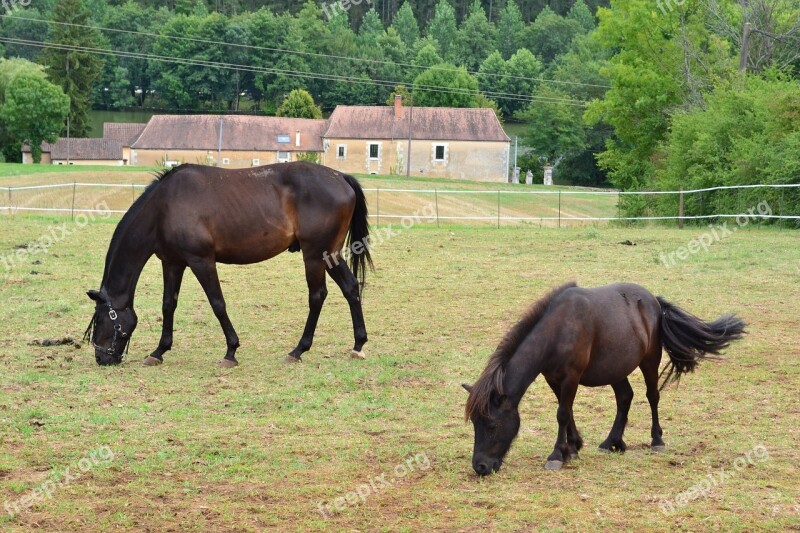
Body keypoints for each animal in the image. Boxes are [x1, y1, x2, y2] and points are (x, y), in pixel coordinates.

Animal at [86, 162, 374, 368]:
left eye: (100, 320)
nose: (102, 358)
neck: (164, 207)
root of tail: (341, 177)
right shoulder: (172, 263)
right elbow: (168, 305)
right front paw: (158, 351)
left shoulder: (201, 261)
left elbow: (217, 304)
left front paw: (231, 351)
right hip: (330, 256)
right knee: (350, 288)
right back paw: (358, 345)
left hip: (315, 255)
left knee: (317, 296)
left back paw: (298, 349)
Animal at [462, 282, 744, 474]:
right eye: (475, 423)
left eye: (491, 425)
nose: (480, 466)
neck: (558, 329)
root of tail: (654, 301)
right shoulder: (554, 378)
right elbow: (567, 411)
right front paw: (573, 448)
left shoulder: (571, 376)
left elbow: (562, 414)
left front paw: (557, 455)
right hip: (616, 368)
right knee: (625, 398)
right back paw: (613, 442)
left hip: (649, 361)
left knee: (652, 397)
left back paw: (657, 440)